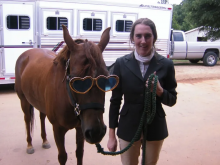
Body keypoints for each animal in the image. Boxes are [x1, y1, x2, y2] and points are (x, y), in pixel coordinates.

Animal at [15, 25, 115, 164]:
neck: (68, 98)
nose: (96, 132)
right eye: (76, 82)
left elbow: (79, 153)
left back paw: (45, 140)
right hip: (23, 100)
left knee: (41, 116)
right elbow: (62, 156)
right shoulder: (58, 129)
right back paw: (29, 145)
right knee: (27, 119)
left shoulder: (81, 128)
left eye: (105, 79)